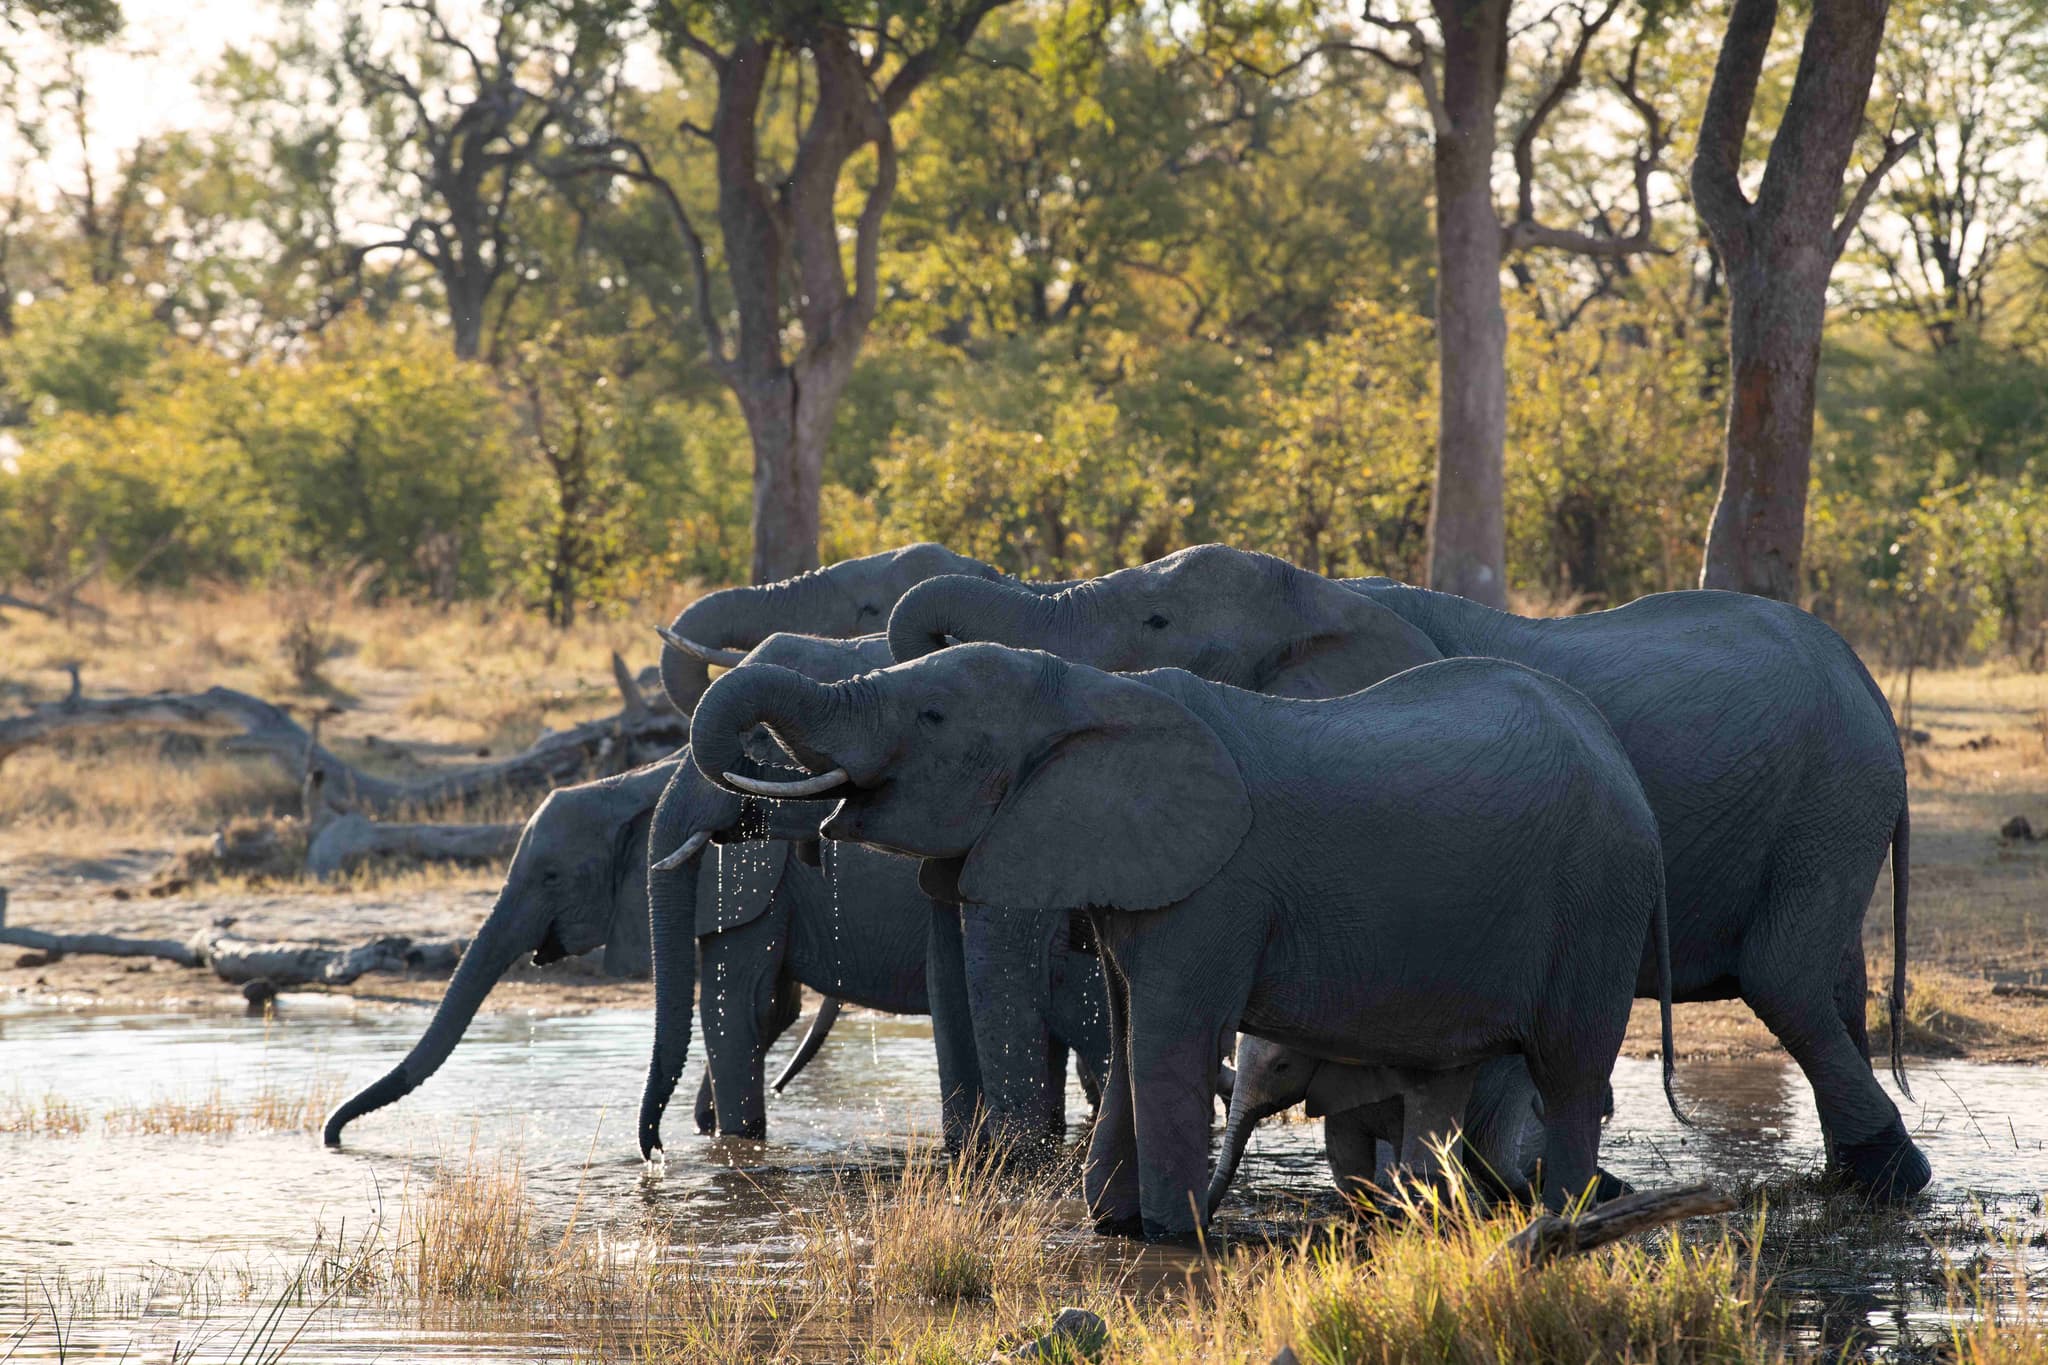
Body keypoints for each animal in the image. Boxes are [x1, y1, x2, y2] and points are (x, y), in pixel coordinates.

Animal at [688, 642, 1679, 1237]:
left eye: (932, 717)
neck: (1090, 688)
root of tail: (1622, 763)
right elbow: (1132, 1035)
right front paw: (1115, 1227)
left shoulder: (1216, 888)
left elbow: (1169, 1044)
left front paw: (1170, 1235)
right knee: (1446, 1078)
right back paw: (1432, 1221)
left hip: (1600, 900)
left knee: (1571, 1071)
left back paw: (1569, 1223)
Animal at [886, 543, 1926, 1201]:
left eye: (1156, 617)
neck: (1320, 592)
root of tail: (1871, 687)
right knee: (1835, 984)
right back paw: (1853, 1174)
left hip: (1829, 800)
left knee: (1784, 978)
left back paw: (1889, 1177)